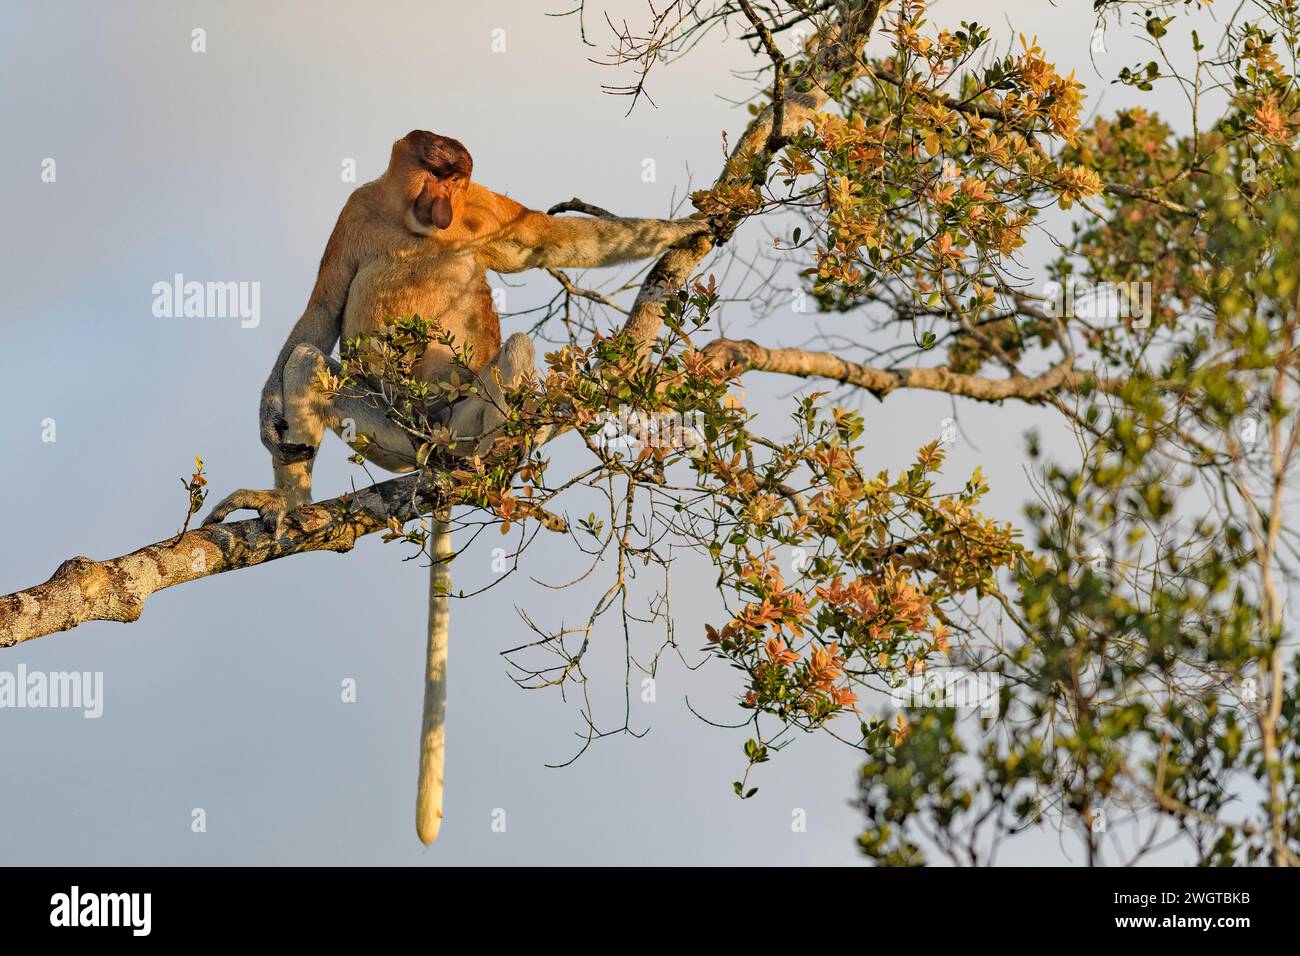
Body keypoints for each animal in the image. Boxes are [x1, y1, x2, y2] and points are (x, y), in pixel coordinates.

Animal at [205, 132, 712, 842]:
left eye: (459, 182)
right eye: (437, 174)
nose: (444, 205)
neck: (409, 220)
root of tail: (437, 447)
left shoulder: (485, 215)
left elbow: (552, 240)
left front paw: (687, 227)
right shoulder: (355, 209)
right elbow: (321, 311)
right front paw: (266, 416)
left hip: (464, 413)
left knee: (518, 346)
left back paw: (486, 465)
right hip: (386, 435)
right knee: (310, 362)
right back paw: (295, 503)